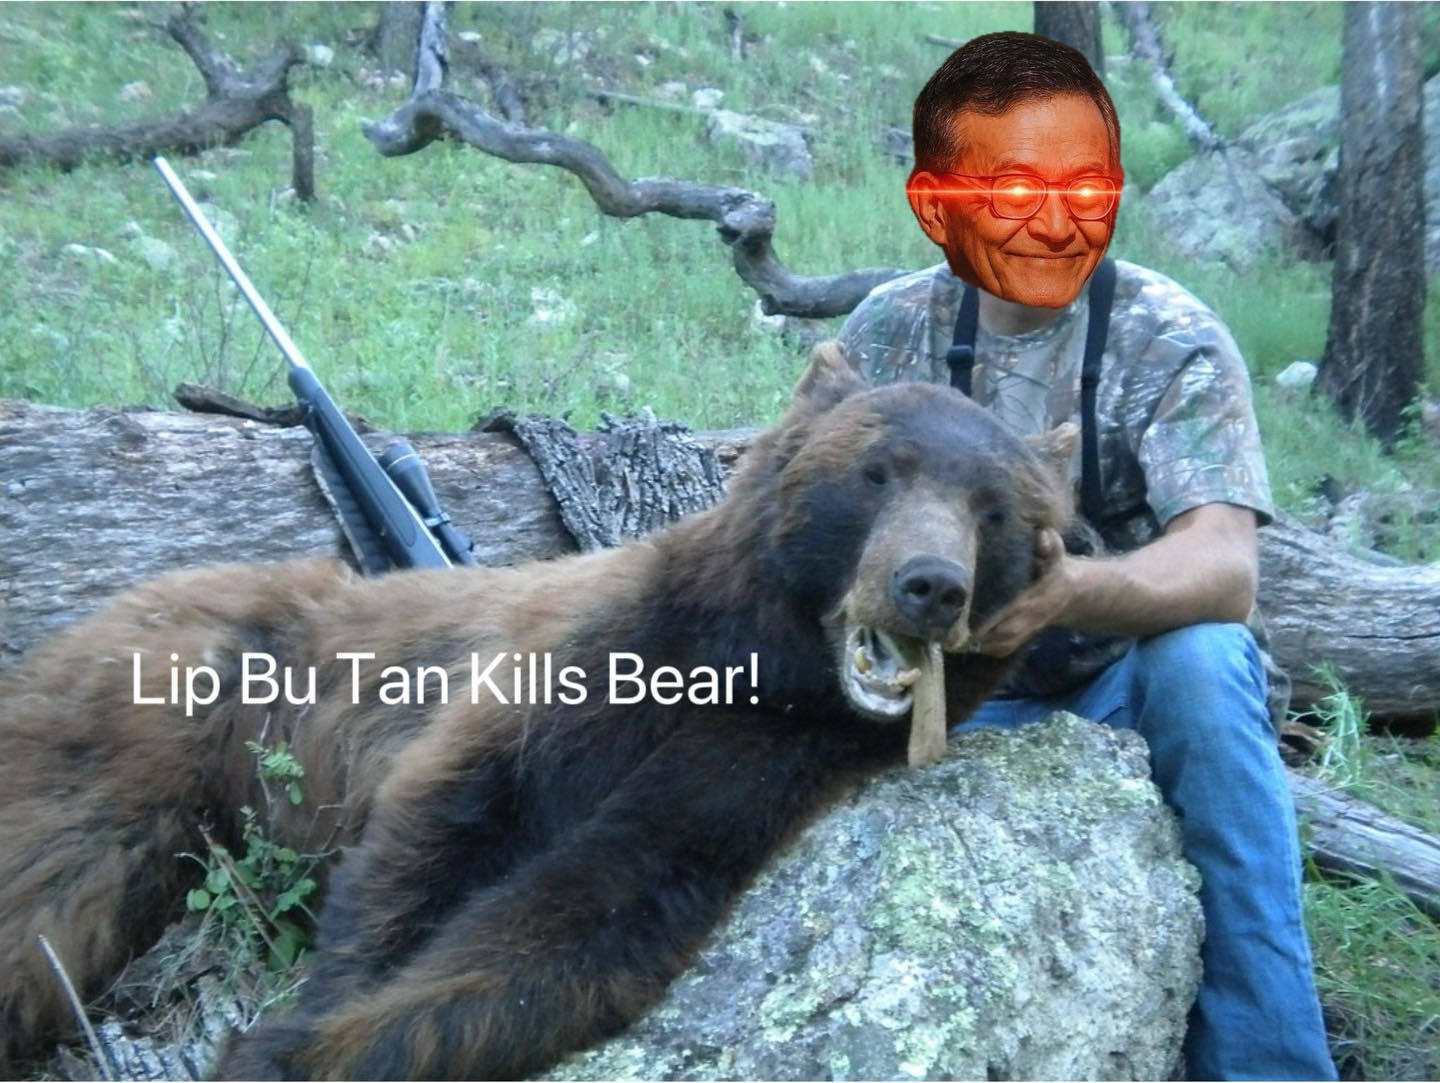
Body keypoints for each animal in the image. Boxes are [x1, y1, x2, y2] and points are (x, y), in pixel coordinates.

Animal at [0, 343, 1072, 1079]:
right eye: (878, 471)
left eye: (993, 511)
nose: (929, 584)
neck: (757, 662)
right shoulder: (582, 655)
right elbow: (443, 826)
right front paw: (321, 998)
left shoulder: (770, 758)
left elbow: (587, 913)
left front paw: (298, 1046)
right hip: (158, 712)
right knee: (51, 886)